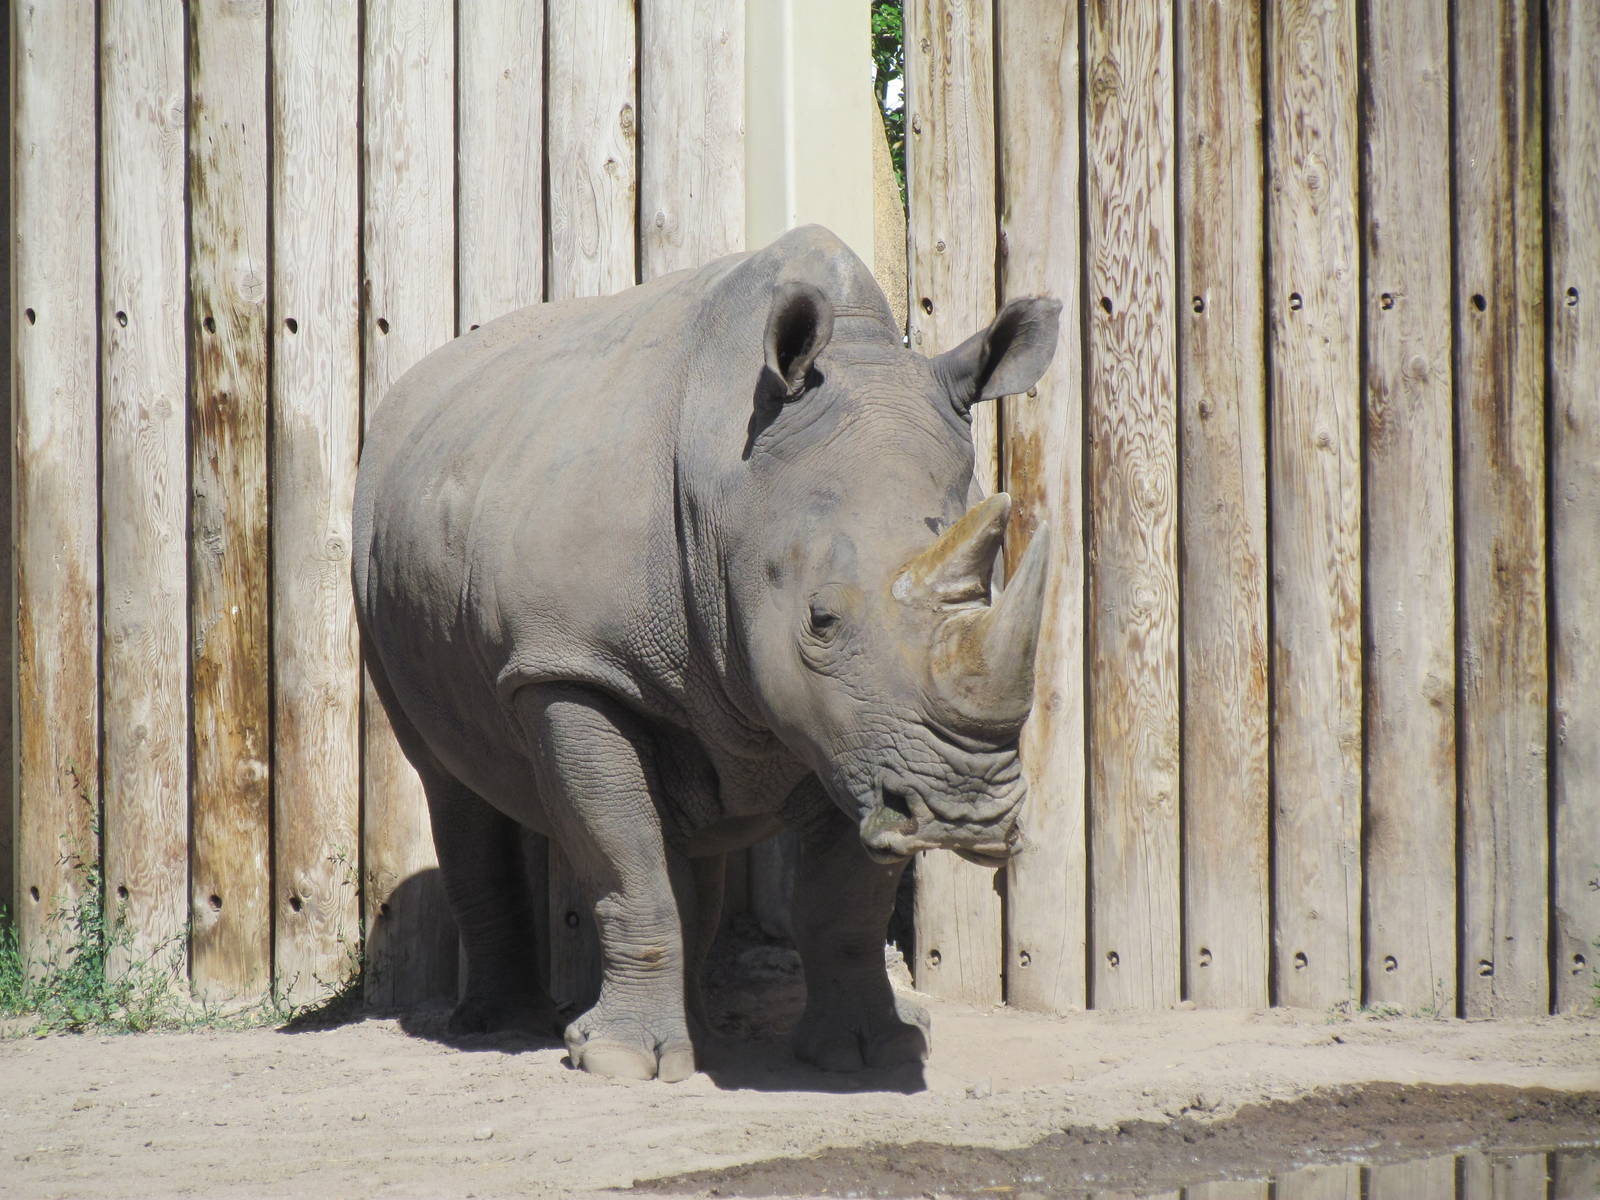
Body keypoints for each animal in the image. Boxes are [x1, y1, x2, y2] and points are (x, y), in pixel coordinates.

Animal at [352, 225, 1060, 1082]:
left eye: (990, 592)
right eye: (820, 620)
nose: (964, 816)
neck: (734, 491)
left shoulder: (857, 732)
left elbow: (843, 899)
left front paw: (873, 1051)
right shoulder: (572, 665)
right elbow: (626, 864)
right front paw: (617, 1064)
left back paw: (694, 1033)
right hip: (381, 565)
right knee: (449, 781)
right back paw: (501, 1026)